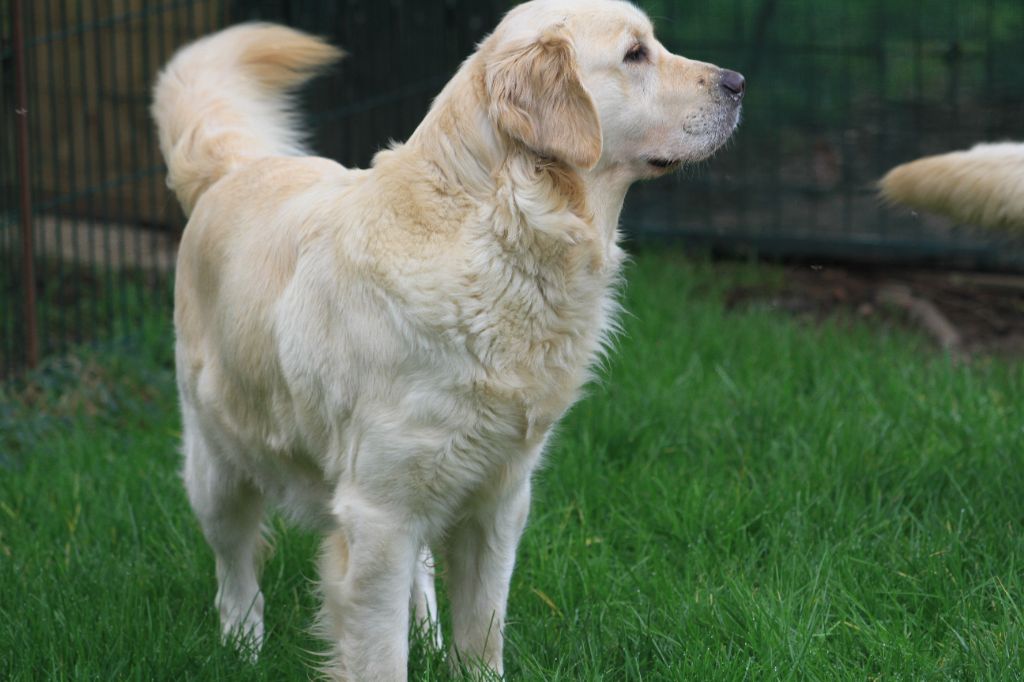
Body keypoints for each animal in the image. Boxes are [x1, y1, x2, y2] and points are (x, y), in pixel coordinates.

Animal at [151, 2, 745, 675]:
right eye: (635, 54)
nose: (737, 83)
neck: (500, 231)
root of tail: (235, 167)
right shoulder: (378, 513)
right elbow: (379, 655)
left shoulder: (498, 499)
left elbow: (482, 631)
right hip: (218, 463)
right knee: (235, 568)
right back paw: (242, 647)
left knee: (420, 570)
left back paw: (425, 633)